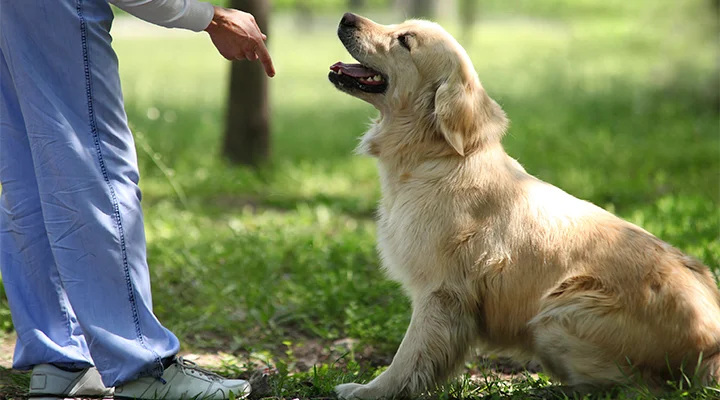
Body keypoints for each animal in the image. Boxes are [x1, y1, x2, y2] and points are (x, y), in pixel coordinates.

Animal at [330, 10, 720, 398]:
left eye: (405, 41)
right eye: (400, 26)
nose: (347, 17)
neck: (437, 157)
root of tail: (711, 347)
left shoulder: (440, 293)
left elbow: (409, 357)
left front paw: (369, 390)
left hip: (557, 313)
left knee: (637, 387)